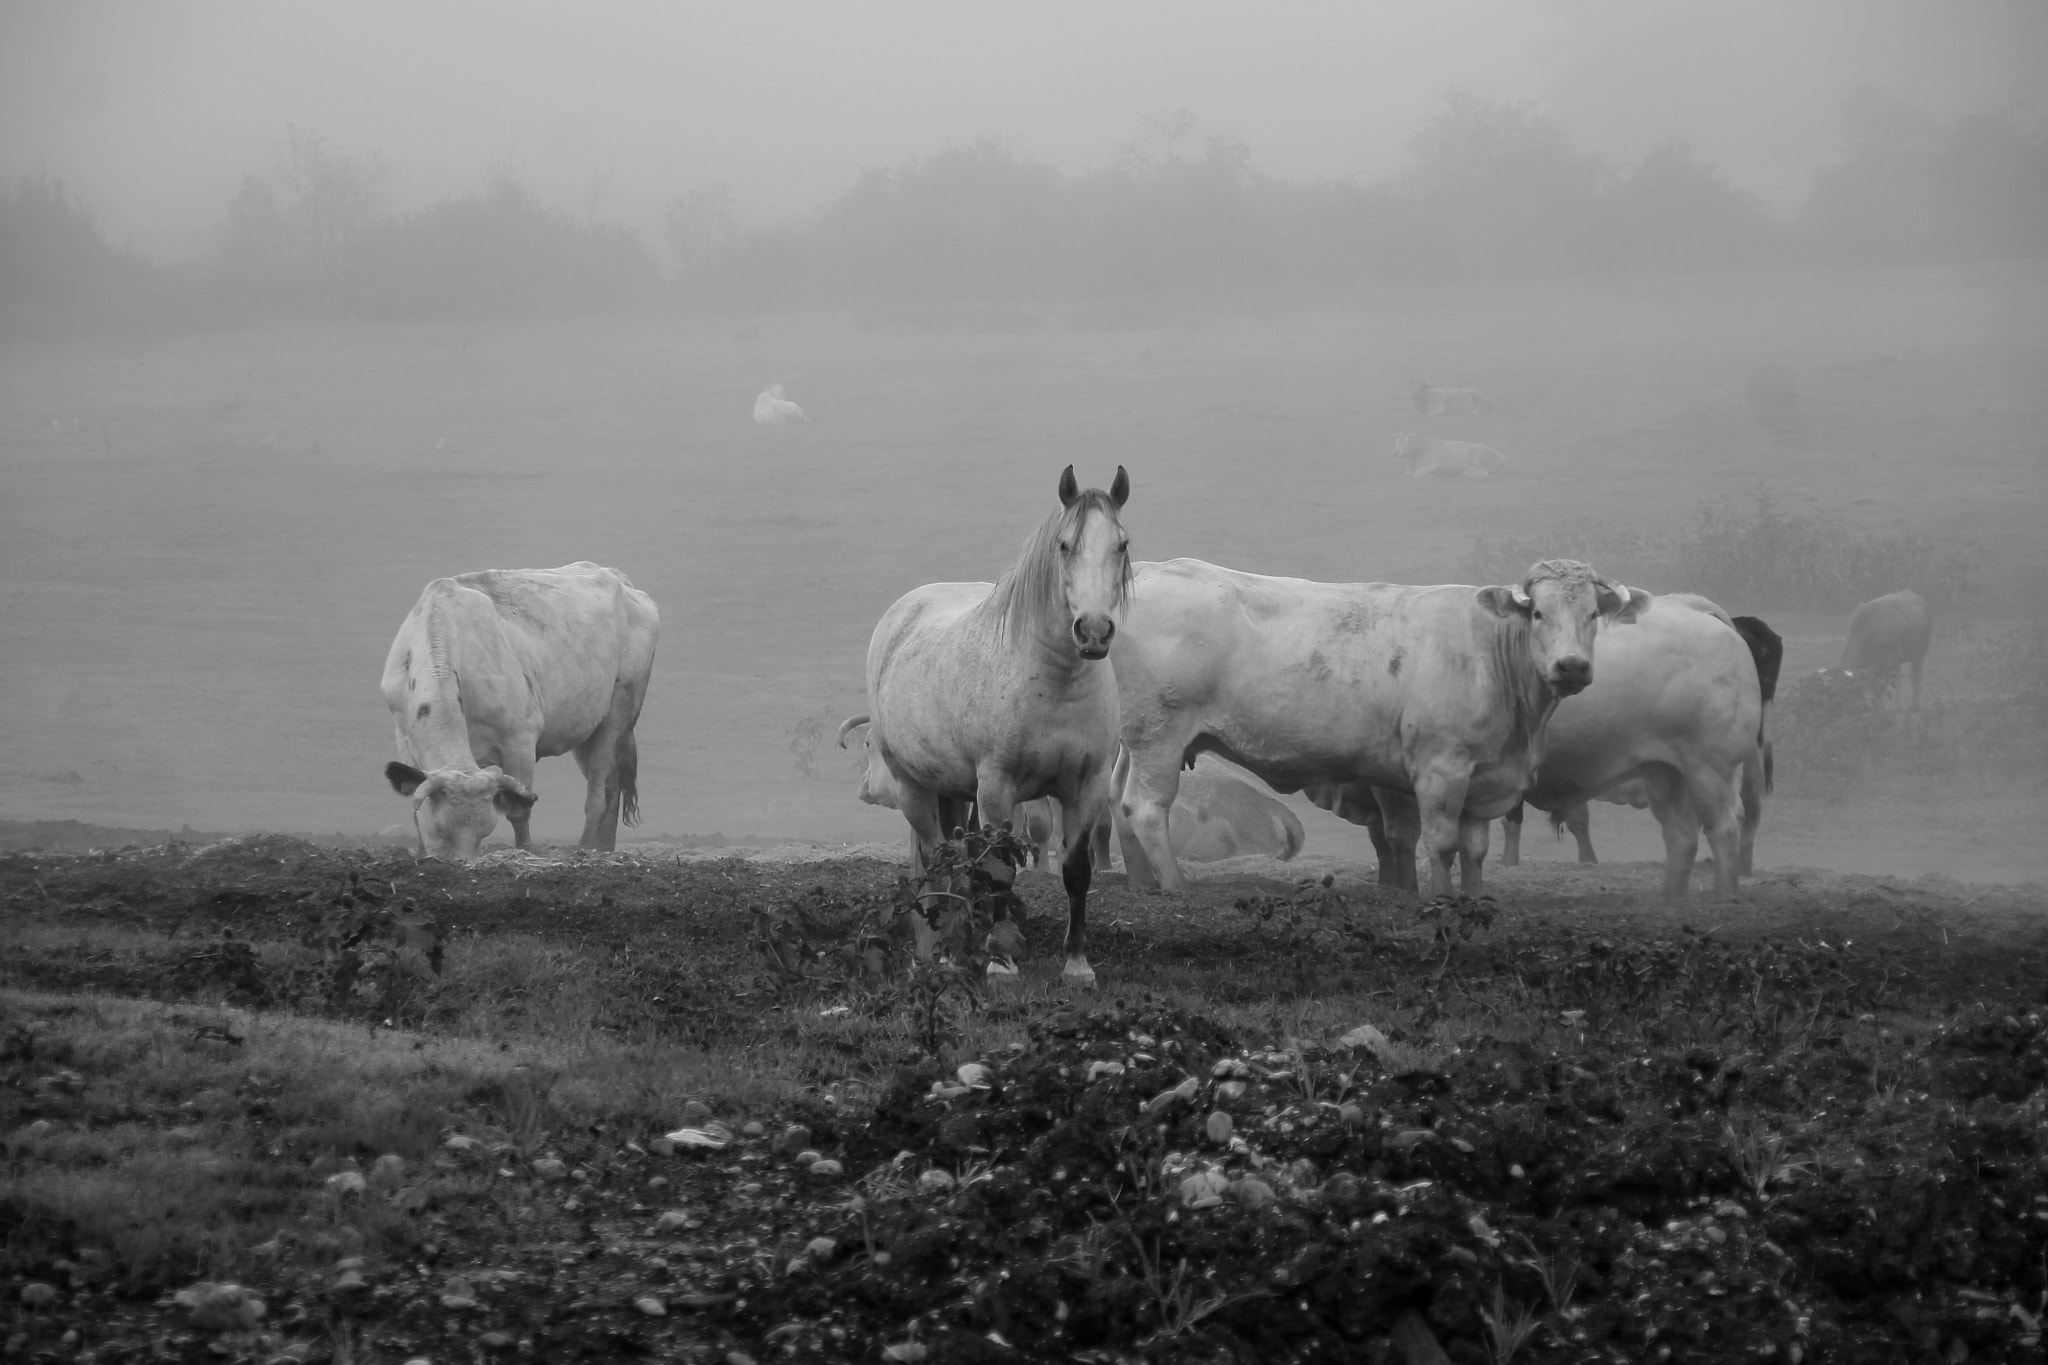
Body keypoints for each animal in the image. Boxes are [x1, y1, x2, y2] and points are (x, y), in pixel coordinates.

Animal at [381, 562, 659, 860]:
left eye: (484, 831)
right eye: (439, 828)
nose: (462, 862)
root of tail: (614, 575)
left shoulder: (520, 742)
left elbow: (519, 811)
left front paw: (525, 850)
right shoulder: (406, 741)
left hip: (621, 708)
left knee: (601, 788)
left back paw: (587, 848)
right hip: (588, 727)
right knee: (612, 786)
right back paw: (603, 848)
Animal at [862, 465, 1132, 985]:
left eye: (1122, 544)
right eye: (1065, 545)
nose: (1093, 631)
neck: (1056, 684)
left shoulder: (1087, 787)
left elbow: (1076, 871)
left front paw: (1077, 965)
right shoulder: (997, 789)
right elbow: (1001, 872)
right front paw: (1001, 963)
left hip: (952, 789)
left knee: (957, 858)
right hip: (913, 787)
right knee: (940, 859)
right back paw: (942, 954)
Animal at [1114, 557, 1649, 898]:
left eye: (1593, 614)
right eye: (1538, 613)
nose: (1572, 666)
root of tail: (1153, 568)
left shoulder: (1485, 777)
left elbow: (1475, 849)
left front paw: (1475, 898)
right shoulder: (1439, 768)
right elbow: (1440, 842)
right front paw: (1441, 898)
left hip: (1136, 739)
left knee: (1120, 805)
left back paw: (1142, 882)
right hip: (1160, 733)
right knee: (1147, 808)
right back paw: (1176, 884)